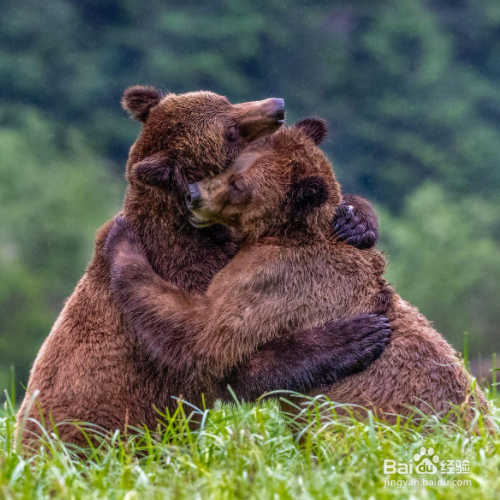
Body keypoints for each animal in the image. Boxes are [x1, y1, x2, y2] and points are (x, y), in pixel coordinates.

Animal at [17, 88, 386, 448]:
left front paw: (354, 222)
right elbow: (216, 351)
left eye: (226, 100)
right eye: (230, 131)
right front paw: (356, 337)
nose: (277, 107)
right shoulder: (190, 273)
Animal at [104, 119, 488, 424]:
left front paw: (122, 240)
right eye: (228, 165)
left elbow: (204, 333)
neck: (282, 231)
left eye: (239, 185)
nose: (193, 195)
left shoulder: (275, 277)